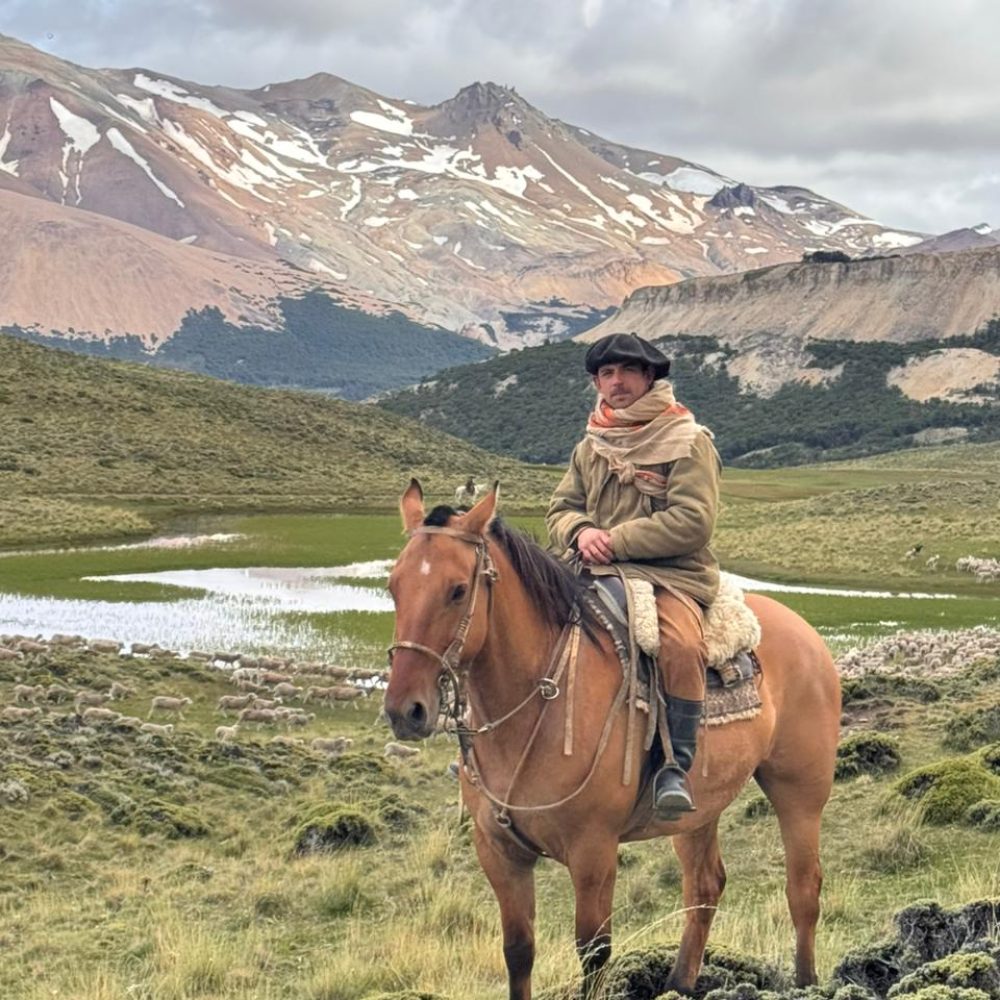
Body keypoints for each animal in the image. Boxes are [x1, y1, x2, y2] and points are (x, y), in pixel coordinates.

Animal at [384, 481, 841, 999]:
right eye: (394, 587)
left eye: (458, 590)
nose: (405, 710)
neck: (536, 708)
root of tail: (805, 632)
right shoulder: (500, 853)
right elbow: (518, 950)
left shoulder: (593, 851)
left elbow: (593, 952)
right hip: (697, 812)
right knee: (704, 887)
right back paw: (679, 984)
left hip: (799, 793)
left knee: (803, 889)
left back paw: (806, 981)